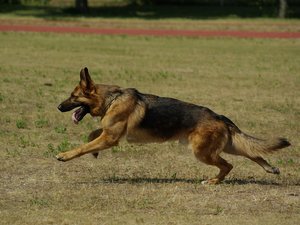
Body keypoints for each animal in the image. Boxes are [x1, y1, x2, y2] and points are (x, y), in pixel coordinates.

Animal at [56, 67, 290, 184]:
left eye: (73, 97)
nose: (58, 107)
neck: (112, 98)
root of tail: (220, 117)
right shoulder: (108, 134)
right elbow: (92, 135)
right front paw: (94, 151)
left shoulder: (110, 138)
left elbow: (84, 146)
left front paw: (65, 155)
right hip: (226, 146)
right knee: (252, 152)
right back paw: (270, 168)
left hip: (203, 152)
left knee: (228, 165)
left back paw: (213, 181)